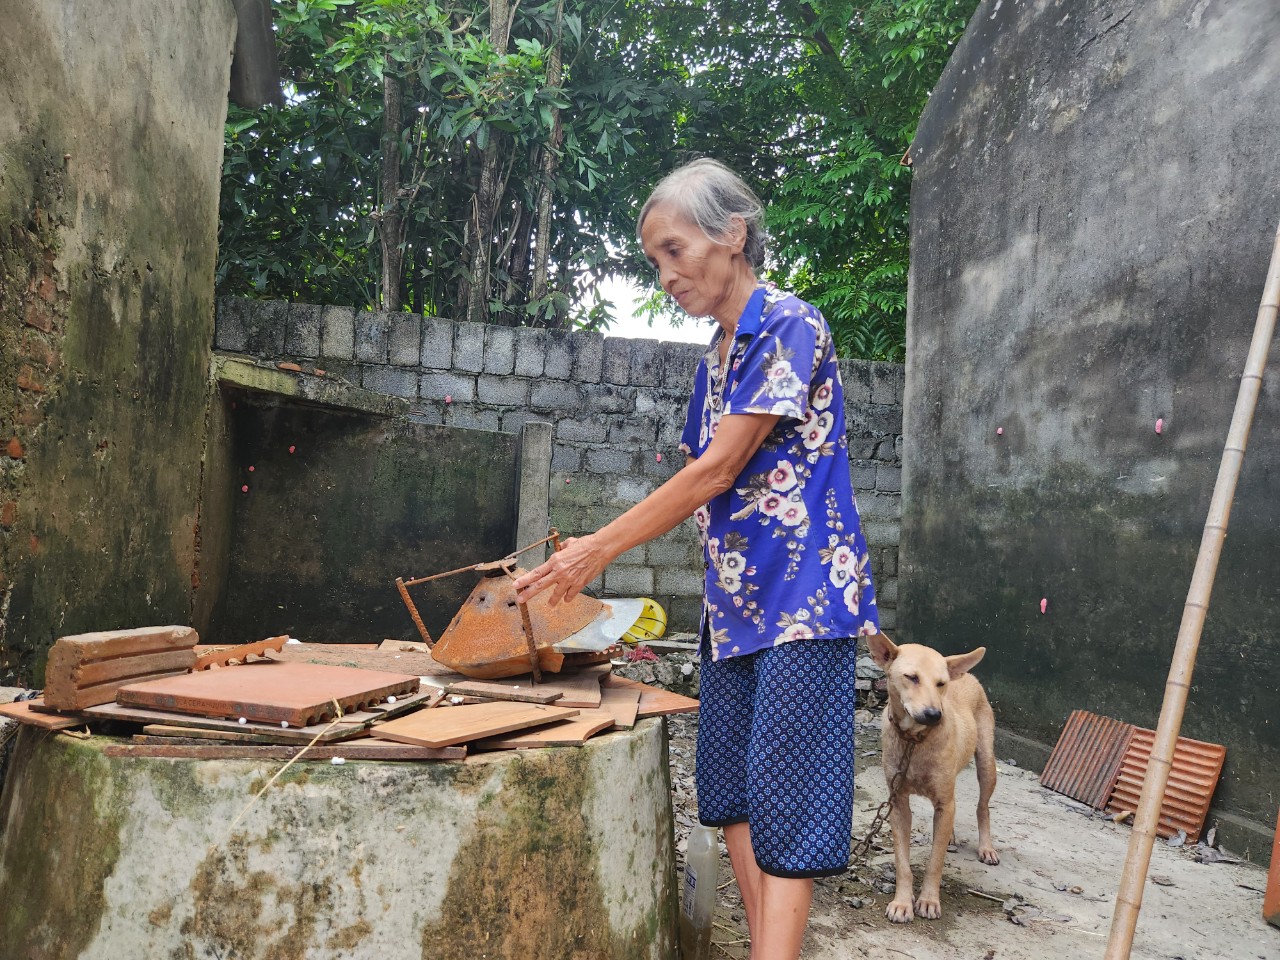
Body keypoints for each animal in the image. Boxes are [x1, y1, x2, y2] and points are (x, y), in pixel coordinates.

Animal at [860, 634, 998, 921]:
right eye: (911, 677)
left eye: (941, 683)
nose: (935, 715)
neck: (914, 741)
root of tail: (967, 674)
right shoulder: (898, 803)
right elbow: (902, 863)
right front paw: (902, 902)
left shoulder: (944, 800)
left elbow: (935, 861)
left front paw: (929, 900)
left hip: (986, 763)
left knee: (982, 807)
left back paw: (986, 847)